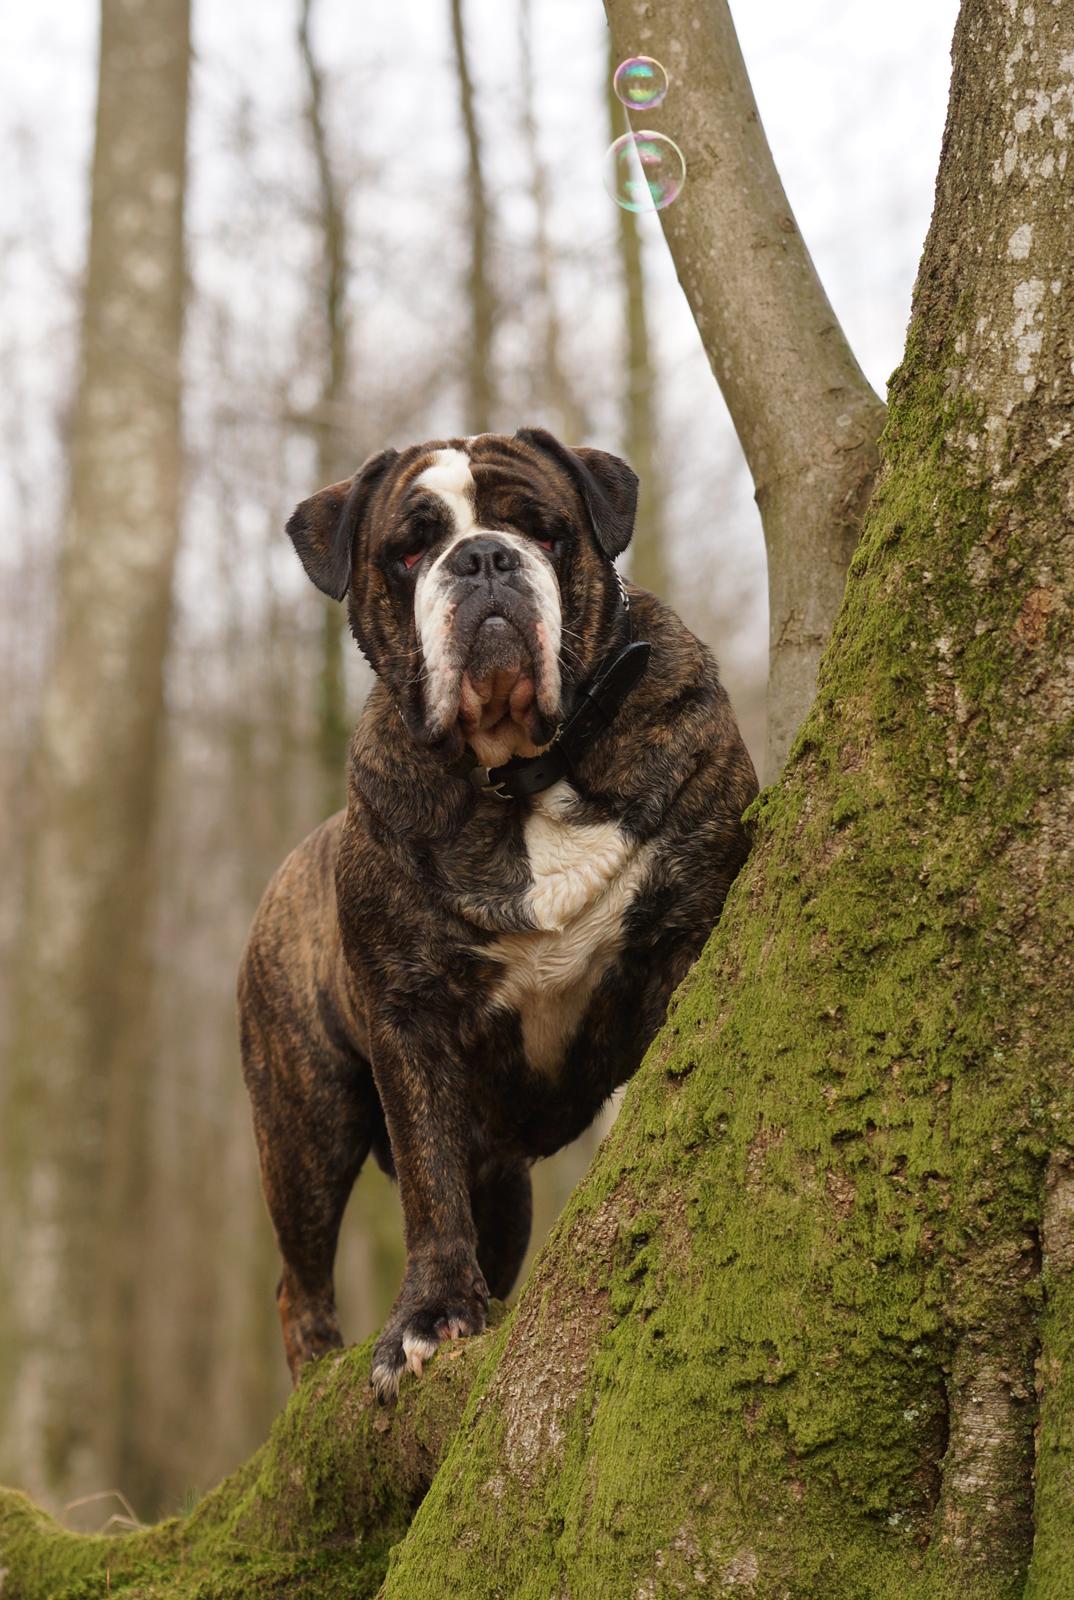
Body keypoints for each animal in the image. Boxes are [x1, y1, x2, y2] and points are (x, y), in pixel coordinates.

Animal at [240, 428, 761, 1401]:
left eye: (545, 530)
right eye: (410, 551)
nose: (483, 558)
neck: (525, 773)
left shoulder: (681, 937)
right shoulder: (410, 1021)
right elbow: (428, 1188)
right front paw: (428, 1319)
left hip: (500, 1183)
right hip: (303, 1125)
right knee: (298, 1282)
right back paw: (316, 1379)